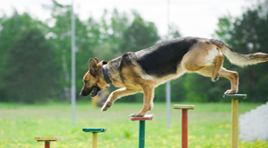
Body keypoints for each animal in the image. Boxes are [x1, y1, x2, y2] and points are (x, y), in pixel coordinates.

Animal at [79, 37, 268, 117]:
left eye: (85, 81)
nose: (81, 94)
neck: (108, 70)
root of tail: (207, 39)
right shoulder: (133, 88)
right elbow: (114, 93)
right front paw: (107, 105)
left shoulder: (147, 86)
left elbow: (147, 104)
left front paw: (140, 114)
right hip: (202, 68)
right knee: (233, 72)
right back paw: (232, 89)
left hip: (190, 63)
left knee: (220, 58)